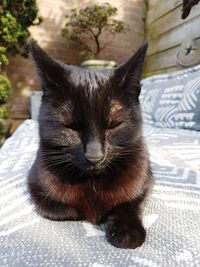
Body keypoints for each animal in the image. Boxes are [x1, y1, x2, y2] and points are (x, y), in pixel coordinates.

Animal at [27, 42, 153, 249]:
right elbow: (63, 210)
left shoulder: (144, 179)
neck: (93, 182)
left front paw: (127, 230)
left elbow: (132, 201)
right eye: (71, 127)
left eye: (113, 125)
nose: (94, 155)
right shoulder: (35, 184)